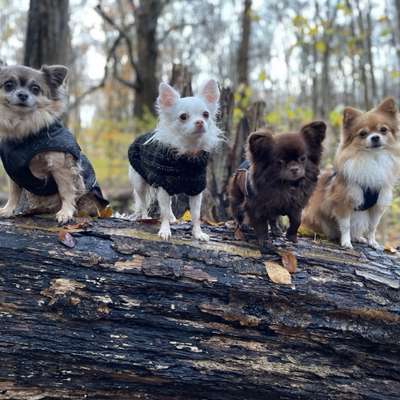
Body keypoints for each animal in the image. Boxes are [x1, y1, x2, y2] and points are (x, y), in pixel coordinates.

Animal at [0, 64, 108, 223]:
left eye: (35, 89)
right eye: (8, 85)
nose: (23, 95)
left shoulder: (61, 166)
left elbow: (66, 191)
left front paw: (66, 212)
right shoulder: (14, 171)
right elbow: (14, 192)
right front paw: (8, 210)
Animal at [230, 122, 326, 253]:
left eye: (303, 158)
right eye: (280, 162)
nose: (294, 168)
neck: (286, 185)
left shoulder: (295, 206)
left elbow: (296, 221)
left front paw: (291, 237)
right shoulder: (257, 207)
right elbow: (261, 226)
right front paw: (265, 242)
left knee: (273, 219)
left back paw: (276, 230)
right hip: (238, 197)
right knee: (238, 212)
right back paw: (241, 226)